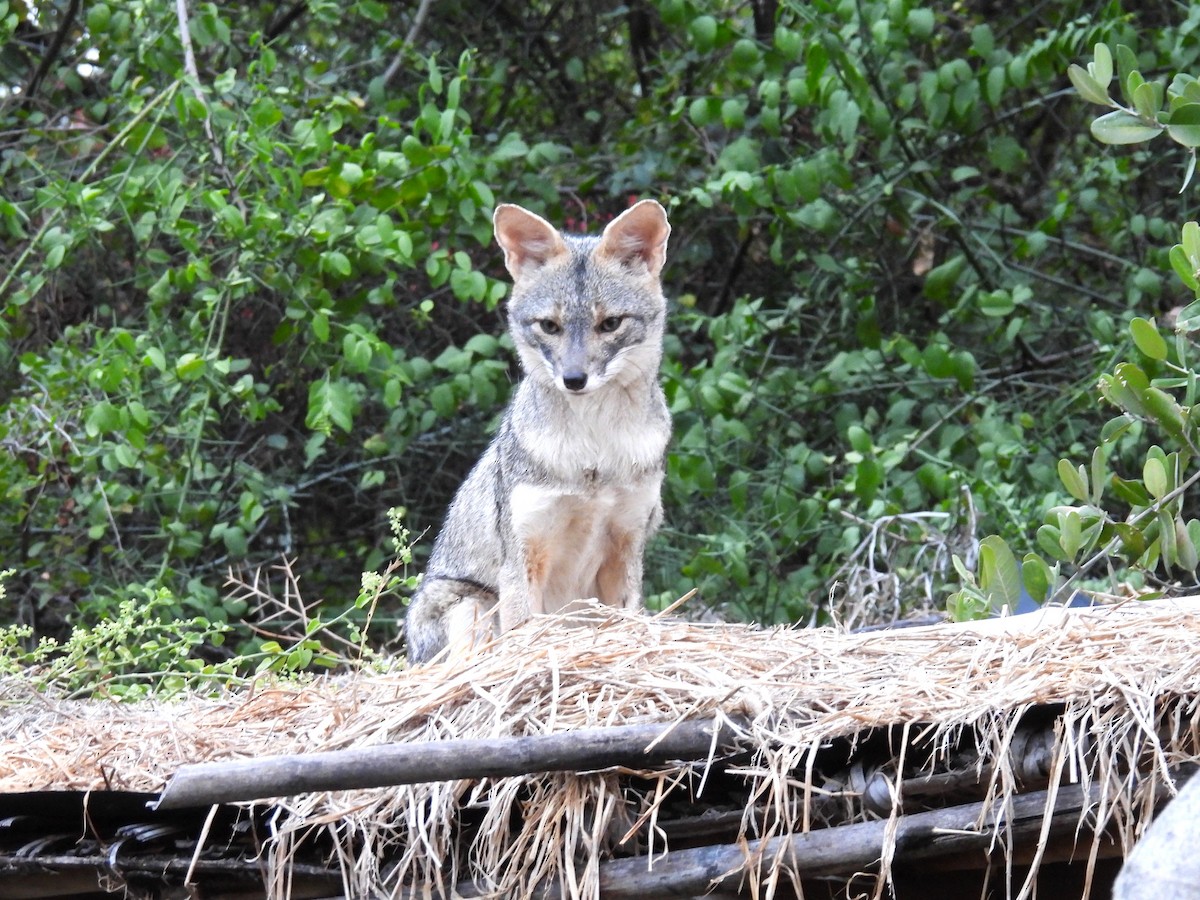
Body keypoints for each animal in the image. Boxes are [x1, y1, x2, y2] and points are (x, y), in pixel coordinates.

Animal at [404, 199, 673, 664]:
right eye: (549, 326)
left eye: (610, 324)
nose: (574, 379)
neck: (593, 455)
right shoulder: (523, 553)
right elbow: (522, 631)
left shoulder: (627, 545)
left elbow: (627, 619)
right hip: (470, 602)